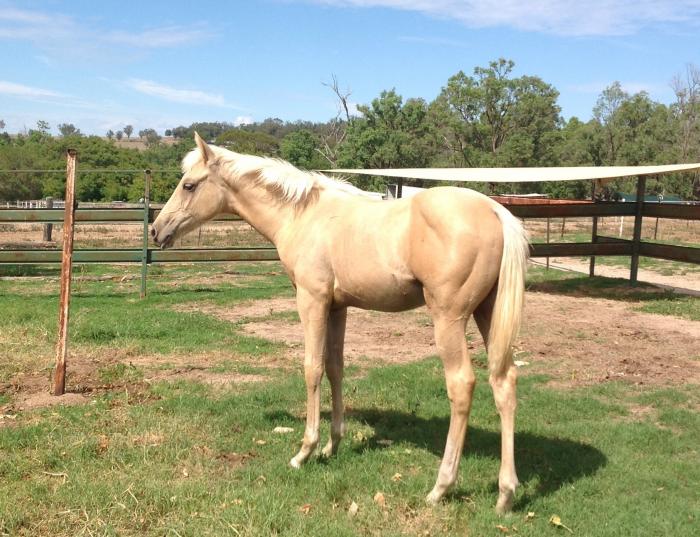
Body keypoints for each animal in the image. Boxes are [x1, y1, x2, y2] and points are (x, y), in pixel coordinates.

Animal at [151, 133, 530, 514]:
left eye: (189, 185)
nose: (156, 230)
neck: (302, 215)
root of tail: (495, 211)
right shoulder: (338, 308)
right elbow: (335, 367)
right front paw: (332, 446)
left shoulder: (312, 300)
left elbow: (313, 368)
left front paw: (305, 451)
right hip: (487, 314)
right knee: (504, 382)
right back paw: (505, 493)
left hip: (449, 318)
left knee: (461, 384)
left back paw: (441, 487)